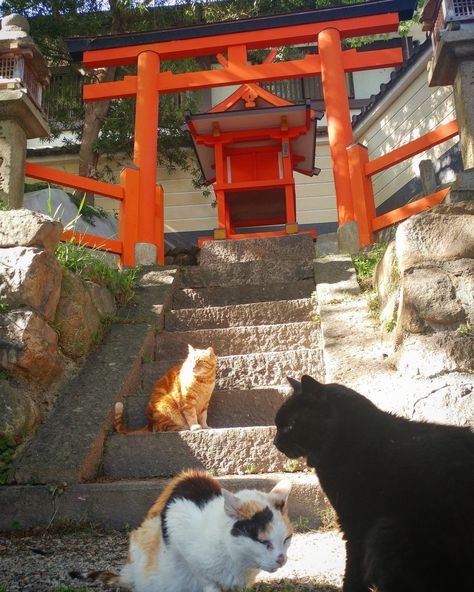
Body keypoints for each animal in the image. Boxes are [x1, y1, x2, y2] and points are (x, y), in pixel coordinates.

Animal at [71, 470, 292, 588]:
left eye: (287, 539)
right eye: (264, 541)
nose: (282, 559)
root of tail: (129, 574)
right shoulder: (177, 517)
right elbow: (203, 577)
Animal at [272, 374, 474, 592]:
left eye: (290, 426)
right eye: (277, 425)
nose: (275, 442)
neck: (348, 440)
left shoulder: (356, 522)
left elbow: (354, 565)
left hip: (387, 535)